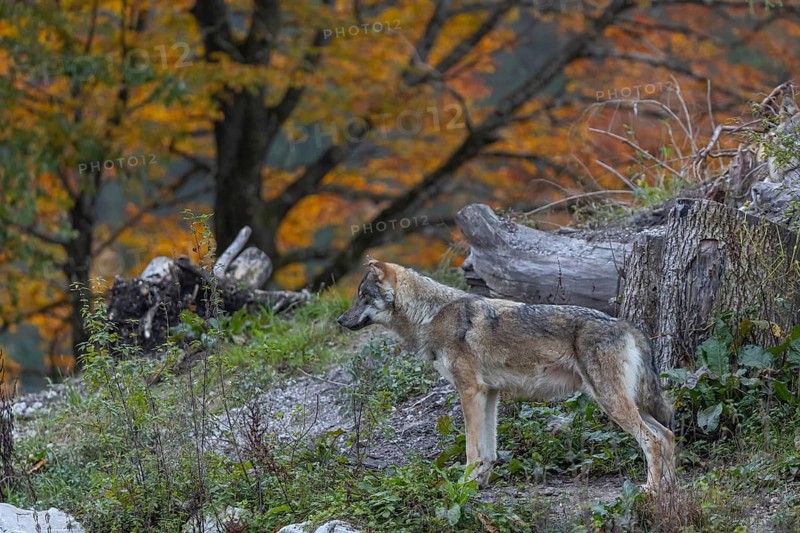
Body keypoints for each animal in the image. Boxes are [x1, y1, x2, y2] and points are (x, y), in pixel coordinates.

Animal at [337, 259, 677, 493]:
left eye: (363, 296)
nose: (340, 320)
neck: (430, 314)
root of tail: (627, 325)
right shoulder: (489, 394)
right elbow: (489, 450)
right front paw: (479, 484)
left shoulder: (469, 391)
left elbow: (472, 449)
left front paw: (462, 485)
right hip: (629, 403)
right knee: (667, 435)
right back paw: (671, 490)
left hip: (611, 402)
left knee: (652, 440)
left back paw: (652, 490)